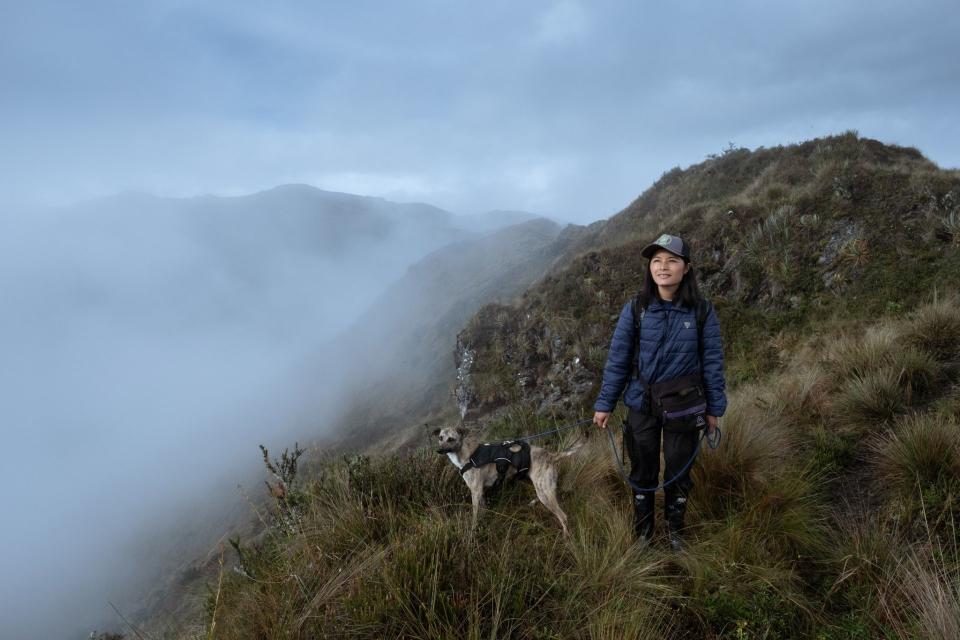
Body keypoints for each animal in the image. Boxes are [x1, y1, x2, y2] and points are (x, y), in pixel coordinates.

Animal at [432, 428, 580, 536]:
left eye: (451, 439)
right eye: (440, 438)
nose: (439, 450)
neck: (467, 455)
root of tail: (550, 455)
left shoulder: (476, 491)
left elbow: (475, 514)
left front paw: (472, 532)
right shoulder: (480, 492)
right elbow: (483, 509)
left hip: (544, 491)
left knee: (563, 516)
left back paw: (566, 537)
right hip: (542, 487)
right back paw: (533, 502)